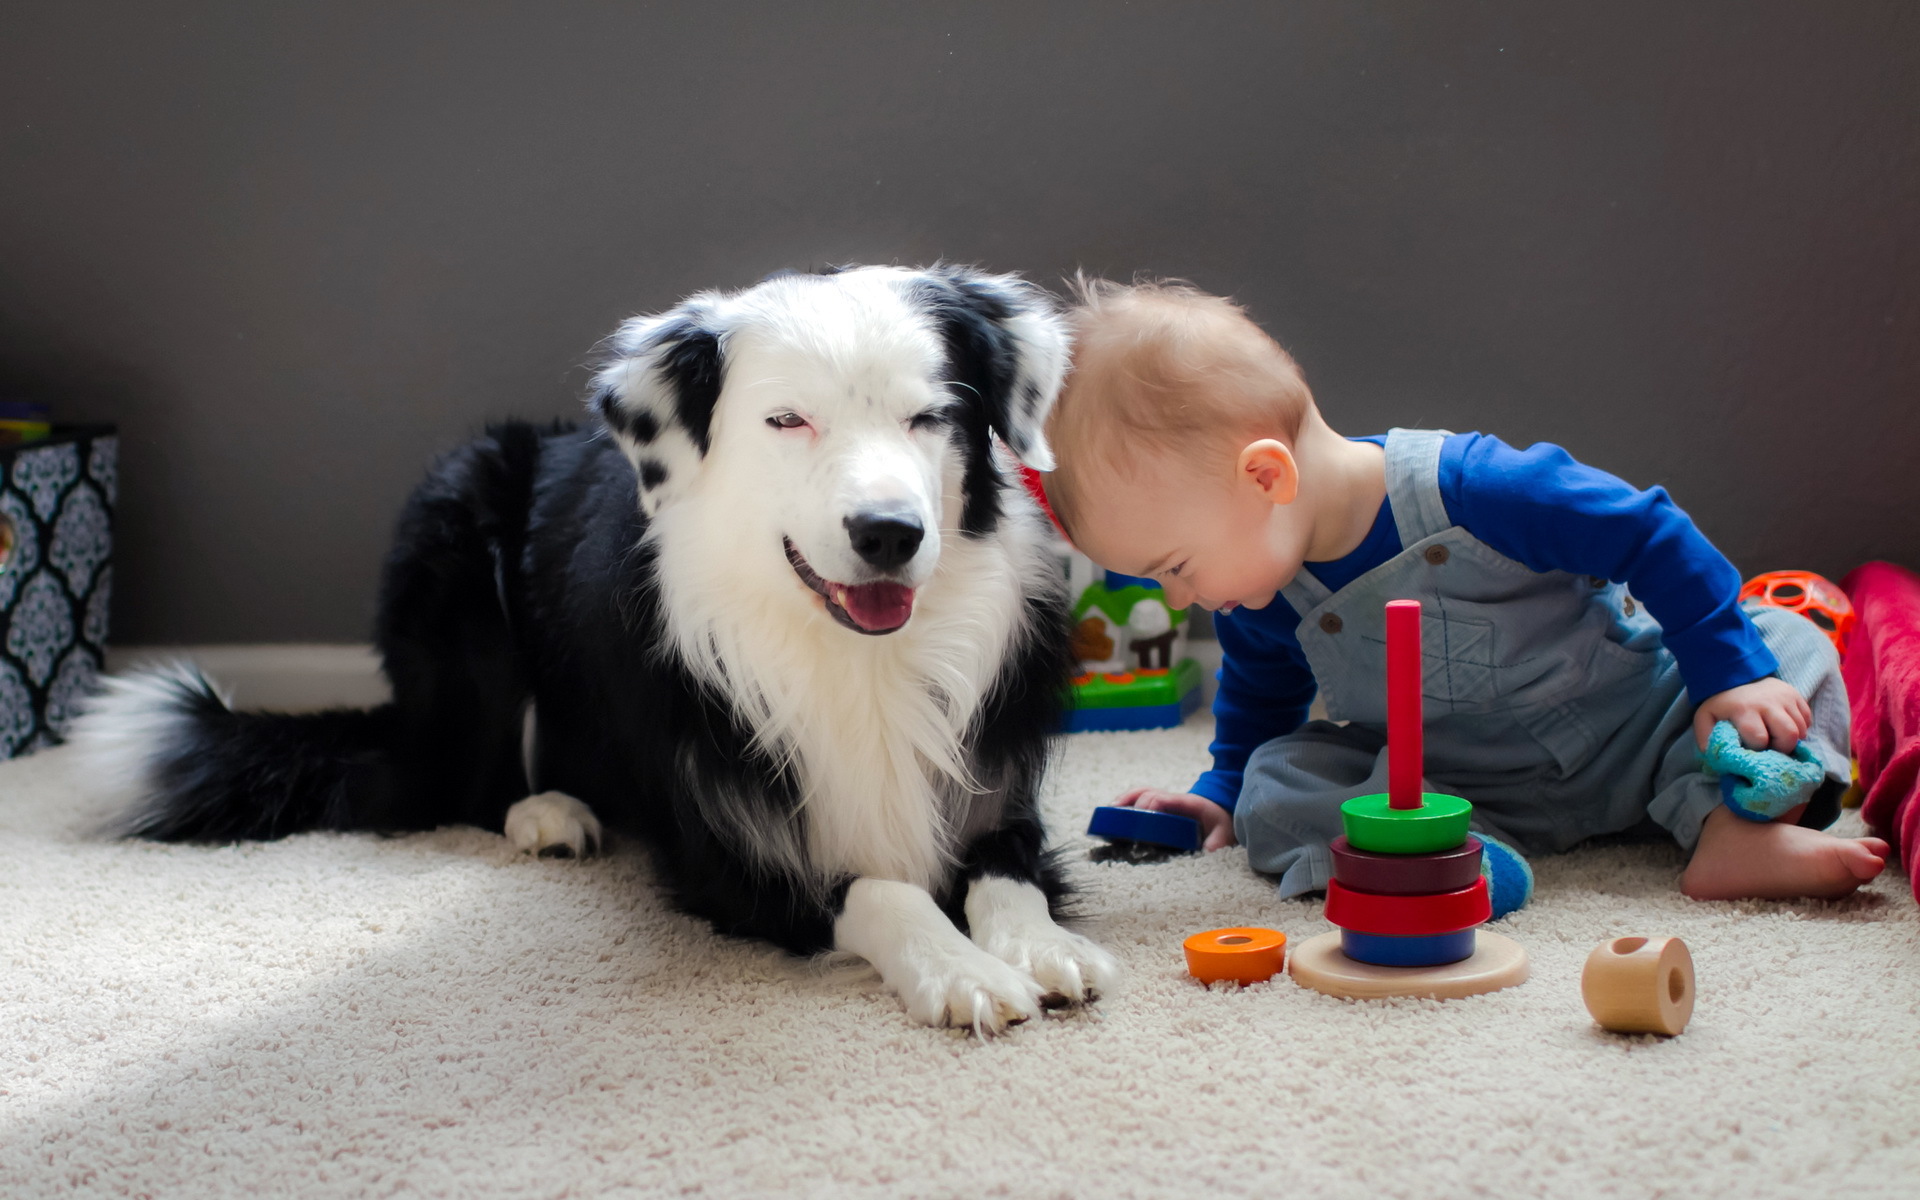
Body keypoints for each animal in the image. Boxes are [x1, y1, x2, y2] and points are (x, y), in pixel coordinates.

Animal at [74, 261, 1121, 1029]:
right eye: (787, 419)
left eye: (929, 416)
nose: (888, 534)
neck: (852, 656)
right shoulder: (729, 854)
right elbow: (882, 891)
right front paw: (961, 971)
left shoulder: (993, 793)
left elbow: (1005, 873)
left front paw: (1043, 948)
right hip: (458, 554)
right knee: (468, 777)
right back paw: (548, 814)